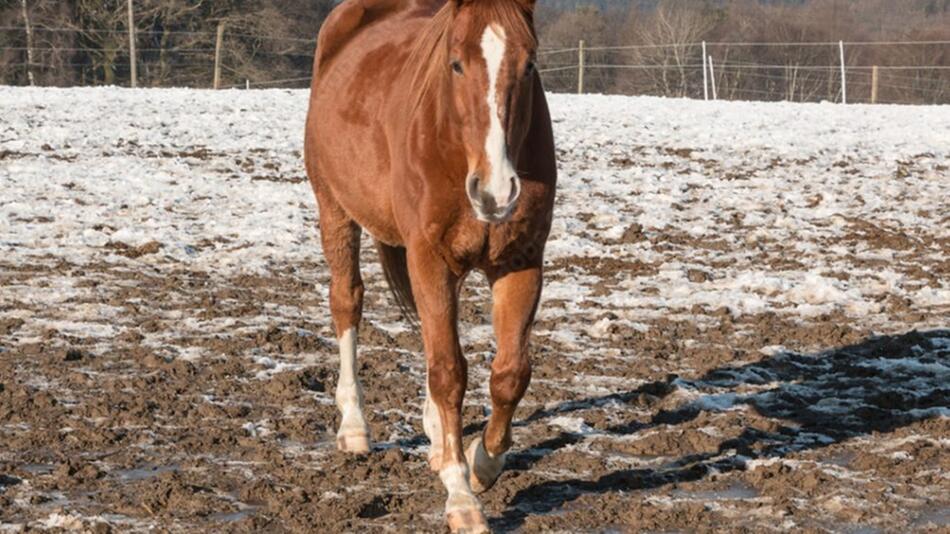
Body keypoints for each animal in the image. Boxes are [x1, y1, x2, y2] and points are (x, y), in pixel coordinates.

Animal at [304, 0, 556, 532]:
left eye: (528, 65)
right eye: (455, 64)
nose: (495, 190)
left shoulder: (521, 263)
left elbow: (510, 373)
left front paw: (482, 463)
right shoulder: (430, 259)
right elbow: (448, 373)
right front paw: (462, 497)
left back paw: (437, 435)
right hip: (334, 209)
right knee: (347, 303)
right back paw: (354, 427)